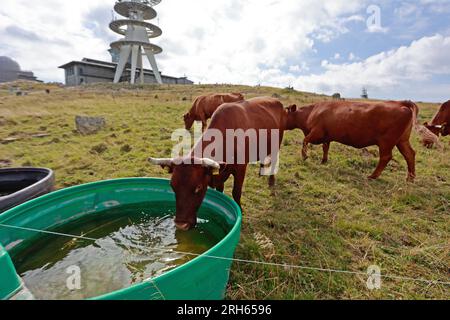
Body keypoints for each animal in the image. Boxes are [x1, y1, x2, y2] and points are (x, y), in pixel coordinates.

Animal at [150, 97, 284, 230]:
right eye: (172, 186)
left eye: (198, 188)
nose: (181, 225)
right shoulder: (219, 174)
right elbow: (220, 191)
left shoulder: (240, 169)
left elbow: (236, 192)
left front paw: (240, 211)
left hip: (276, 145)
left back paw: (271, 181)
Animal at [286, 100, 420, 181]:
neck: (311, 112)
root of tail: (399, 103)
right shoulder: (326, 137)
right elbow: (325, 148)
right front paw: (324, 161)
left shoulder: (316, 132)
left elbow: (305, 140)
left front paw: (304, 156)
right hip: (402, 141)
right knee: (410, 154)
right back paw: (410, 178)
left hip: (386, 143)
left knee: (386, 157)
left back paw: (372, 176)